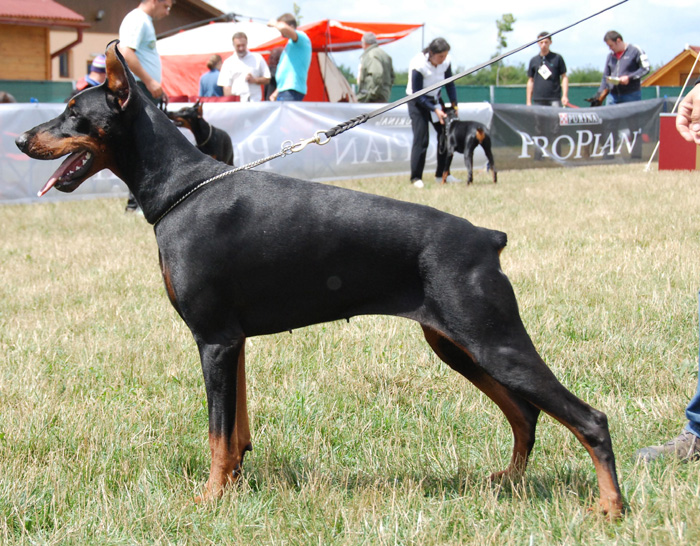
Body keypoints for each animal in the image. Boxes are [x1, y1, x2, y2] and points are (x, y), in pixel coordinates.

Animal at [15, 42, 622, 517]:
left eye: (73, 112)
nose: (20, 140)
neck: (181, 187)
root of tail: (487, 238)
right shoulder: (233, 341)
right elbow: (235, 430)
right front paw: (233, 486)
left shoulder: (213, 339)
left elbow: (216, 432)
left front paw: (209, 499)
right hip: (456, 345)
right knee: (525, 413)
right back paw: (509, 482)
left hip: (492, 341)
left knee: (587, 417)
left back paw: (611, 507)